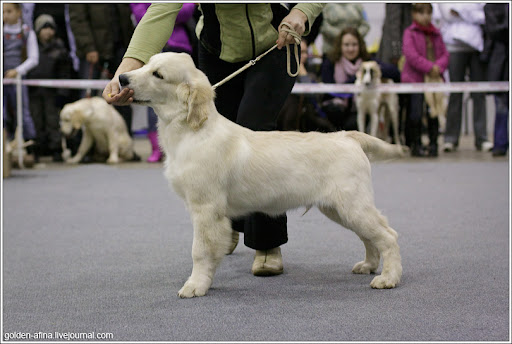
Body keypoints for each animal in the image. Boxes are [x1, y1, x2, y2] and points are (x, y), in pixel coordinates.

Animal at [119, 52, 404, 296]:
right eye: (146, 63)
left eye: (158, 74)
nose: (122, 78)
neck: (192, 130)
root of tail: (348, 136)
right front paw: (203, 282)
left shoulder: (205, 208)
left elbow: (199, 250)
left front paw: (195, 286)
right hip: (338, 208)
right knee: (370, 237)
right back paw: (368, 265)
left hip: (352, 205)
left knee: (389, 235)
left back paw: (388, 278)